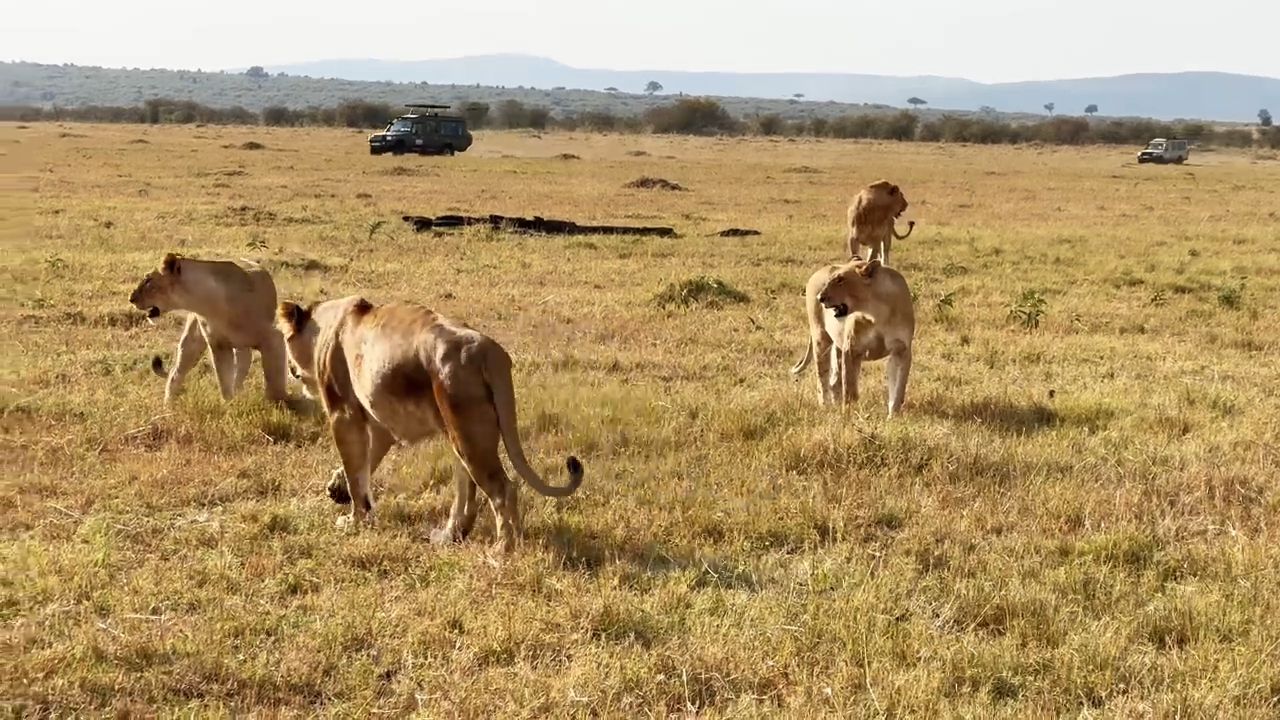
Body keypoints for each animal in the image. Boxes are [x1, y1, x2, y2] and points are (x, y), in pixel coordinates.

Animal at [128, 249, 289, 399]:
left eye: (148, 281)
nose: (131, 298)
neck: (208, 304)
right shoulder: (219, 345)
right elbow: (224, 380)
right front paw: (230, 404)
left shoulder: (273, 337)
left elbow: (274, 378)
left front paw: (278, 403)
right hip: (192, 343)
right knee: (175, 373)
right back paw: (168, 405)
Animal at [277, 294, 586, 550]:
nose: (289, 369)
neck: (326, 325)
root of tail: (490, 351)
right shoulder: (379, 426)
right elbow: (363, 466)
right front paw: (338, 488)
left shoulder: (343, 414)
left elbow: (356, 474)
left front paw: (353, 520)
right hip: (460, 432)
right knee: (467, 490)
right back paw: (452, 535)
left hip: (468, 432)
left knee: (503, 489)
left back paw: (503, 549)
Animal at [788, 257, 911, 415]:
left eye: (840, 280)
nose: (820, 297)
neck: (877, 313)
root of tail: (817, 272)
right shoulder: (851, 349)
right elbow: (849, 387)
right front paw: (849, 413)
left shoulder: (901, 350)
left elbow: (898, 388)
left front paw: (893, 416)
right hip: (821, 338)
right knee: (822, 378)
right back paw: (825, 406)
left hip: (837, 347)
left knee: (834, 382)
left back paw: (834, 403)